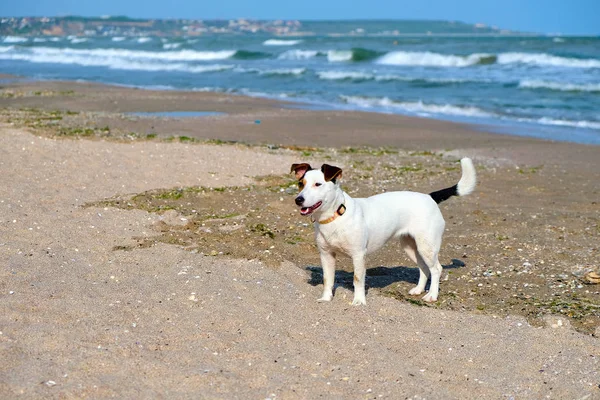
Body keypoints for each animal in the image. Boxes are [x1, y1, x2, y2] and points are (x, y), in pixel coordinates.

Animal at [292, 158, 476, 304]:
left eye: (318, 184)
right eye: (301, 184)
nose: (298, 200)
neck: (335, 216)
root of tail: (430, 197)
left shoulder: (358, 255)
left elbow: (357, 279)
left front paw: (359, 301)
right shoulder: (326, 255)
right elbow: (327, 279)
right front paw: (326, 298)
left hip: (427, 246)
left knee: (436, 269)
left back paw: (432, 295)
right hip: (411, 247)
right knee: (424, 268)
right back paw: (418, 289)